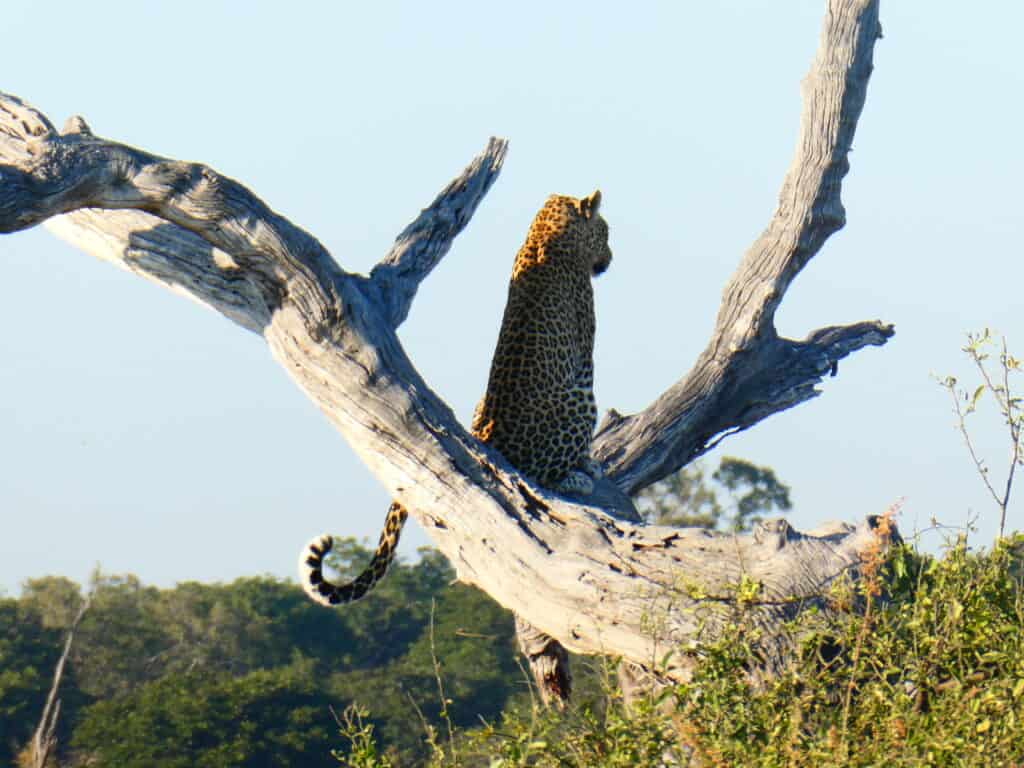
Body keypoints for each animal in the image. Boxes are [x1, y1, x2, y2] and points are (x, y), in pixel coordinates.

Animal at [299, 190, 611, 609]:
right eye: (605, 231)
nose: (609, 258)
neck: (545, 231)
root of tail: (487, 438)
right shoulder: (584, 359)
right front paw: (587, 464)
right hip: (579, 401)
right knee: (546, 473)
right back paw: (578, 476)